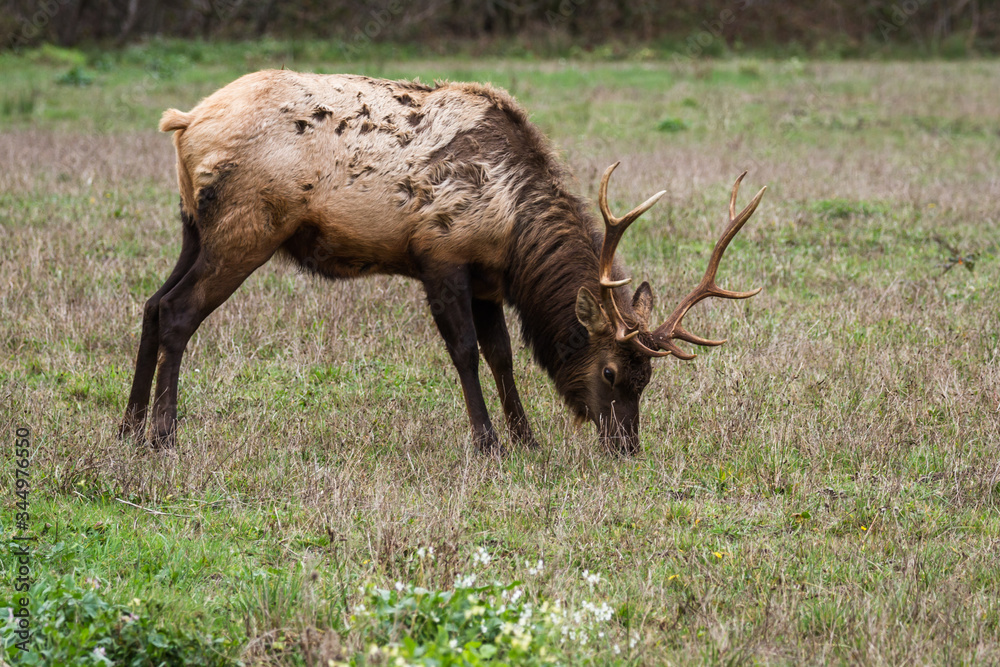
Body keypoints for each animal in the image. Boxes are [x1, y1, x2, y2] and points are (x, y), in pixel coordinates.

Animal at [119, 70, 766, 455]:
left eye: (647, 377)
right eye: (610, 373)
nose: (626, 446)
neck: (511, 231)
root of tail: (184, 123)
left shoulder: (486, 279)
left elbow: (503, 355)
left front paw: (526, 437)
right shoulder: (441, 257)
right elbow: (465, 353)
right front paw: (487, 442)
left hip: (193, 227)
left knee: (151, 303)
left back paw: (127, 425)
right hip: (247, 227)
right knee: (178, 311)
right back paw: (163, 434)